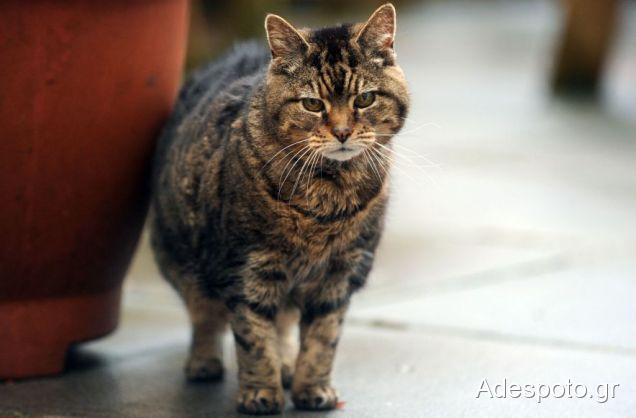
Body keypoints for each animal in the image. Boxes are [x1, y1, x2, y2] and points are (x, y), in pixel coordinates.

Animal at [149, 3, 408, 414]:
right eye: (312, 104)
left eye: (364, 99)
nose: (342, 133)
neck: (327, 197)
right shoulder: (247, 270)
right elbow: (253, 338)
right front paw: (260, 394)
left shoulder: (339, 275)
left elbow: (322, 340)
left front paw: (311, 388)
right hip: (181, 257)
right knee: (203, 313)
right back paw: (204, 363)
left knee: (283, 323)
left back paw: (286, 364)